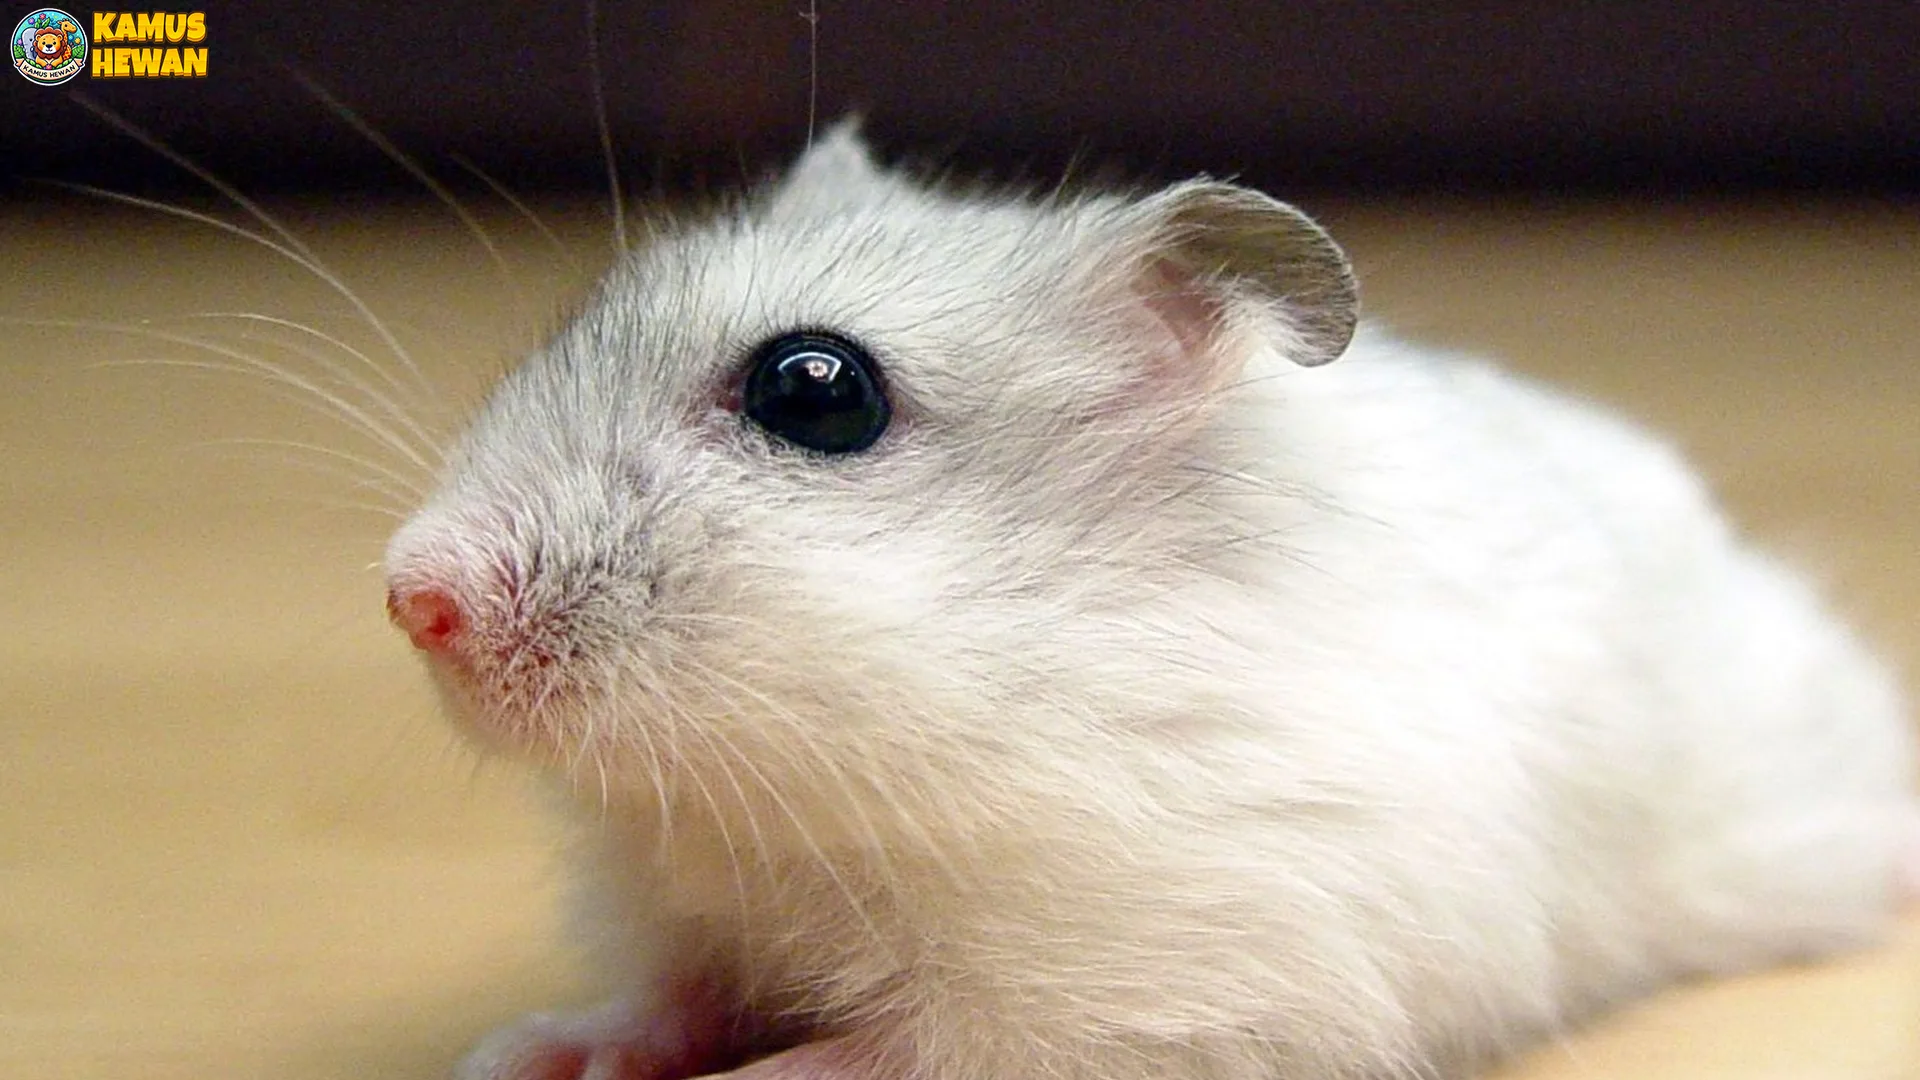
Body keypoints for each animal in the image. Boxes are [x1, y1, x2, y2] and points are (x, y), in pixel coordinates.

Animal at [383, 123, 1920, 1080]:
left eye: (814, 392)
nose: (411, 598)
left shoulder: (1153, 990)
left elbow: (886, 1054)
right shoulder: (681, 906)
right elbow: (666, 997)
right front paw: (527, 1052)